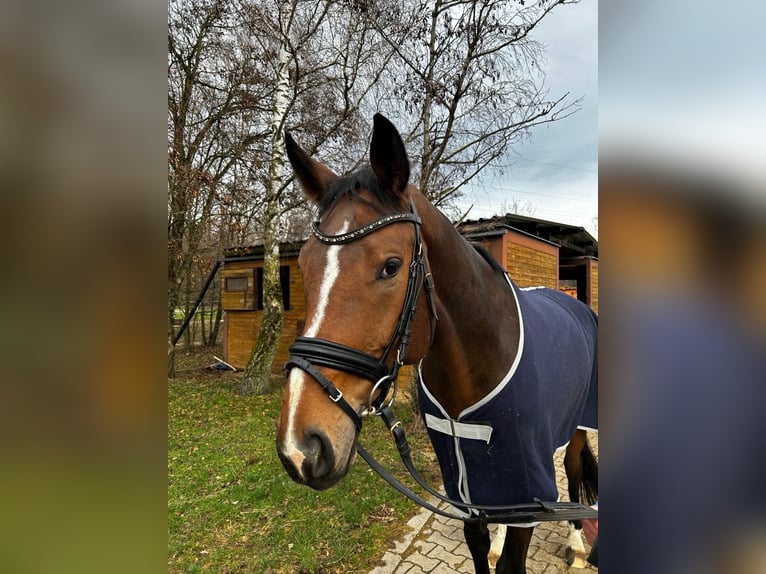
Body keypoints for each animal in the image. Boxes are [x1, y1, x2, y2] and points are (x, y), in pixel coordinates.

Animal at [276, 113, 598, 574]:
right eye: (303, 265)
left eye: (391, 266)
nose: (300, 447)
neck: (479, 365)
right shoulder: (464, 482)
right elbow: (480, 545)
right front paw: (492, 545)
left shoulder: (528, 484)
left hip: (575, 428)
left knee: (571, 469)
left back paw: (576, 546)